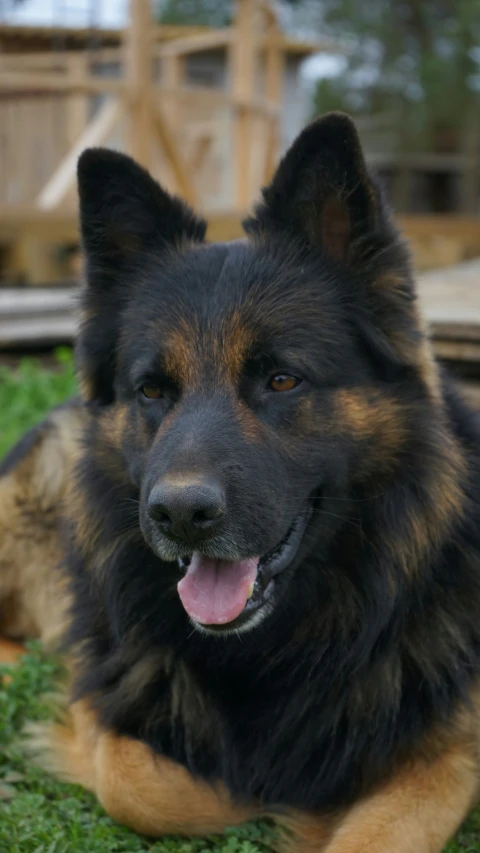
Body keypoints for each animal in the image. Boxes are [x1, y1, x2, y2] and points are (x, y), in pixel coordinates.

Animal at [0, 115, 480, 852]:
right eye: (152, 390)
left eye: (282, 379)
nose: (178, 515)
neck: (278, 642)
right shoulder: (103, 692)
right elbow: (145, 787)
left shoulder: (448, 751)